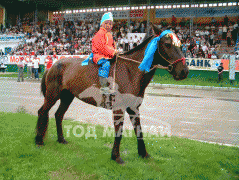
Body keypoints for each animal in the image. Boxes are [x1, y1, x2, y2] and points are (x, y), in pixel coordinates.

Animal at [35, 24, 189, 165]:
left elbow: (139, 130)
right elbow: (119, 132)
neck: (131, 71)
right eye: (167, 44)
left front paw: (143, 154)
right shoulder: (119, 109)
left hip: (67, 97)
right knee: (42, 111)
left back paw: (61, 139)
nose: (184, 71)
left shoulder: (134, 108)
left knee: (58, 115)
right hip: (52, 95)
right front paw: (116, 156)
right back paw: (38, 140)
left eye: (181, 45)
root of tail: (53, 65)